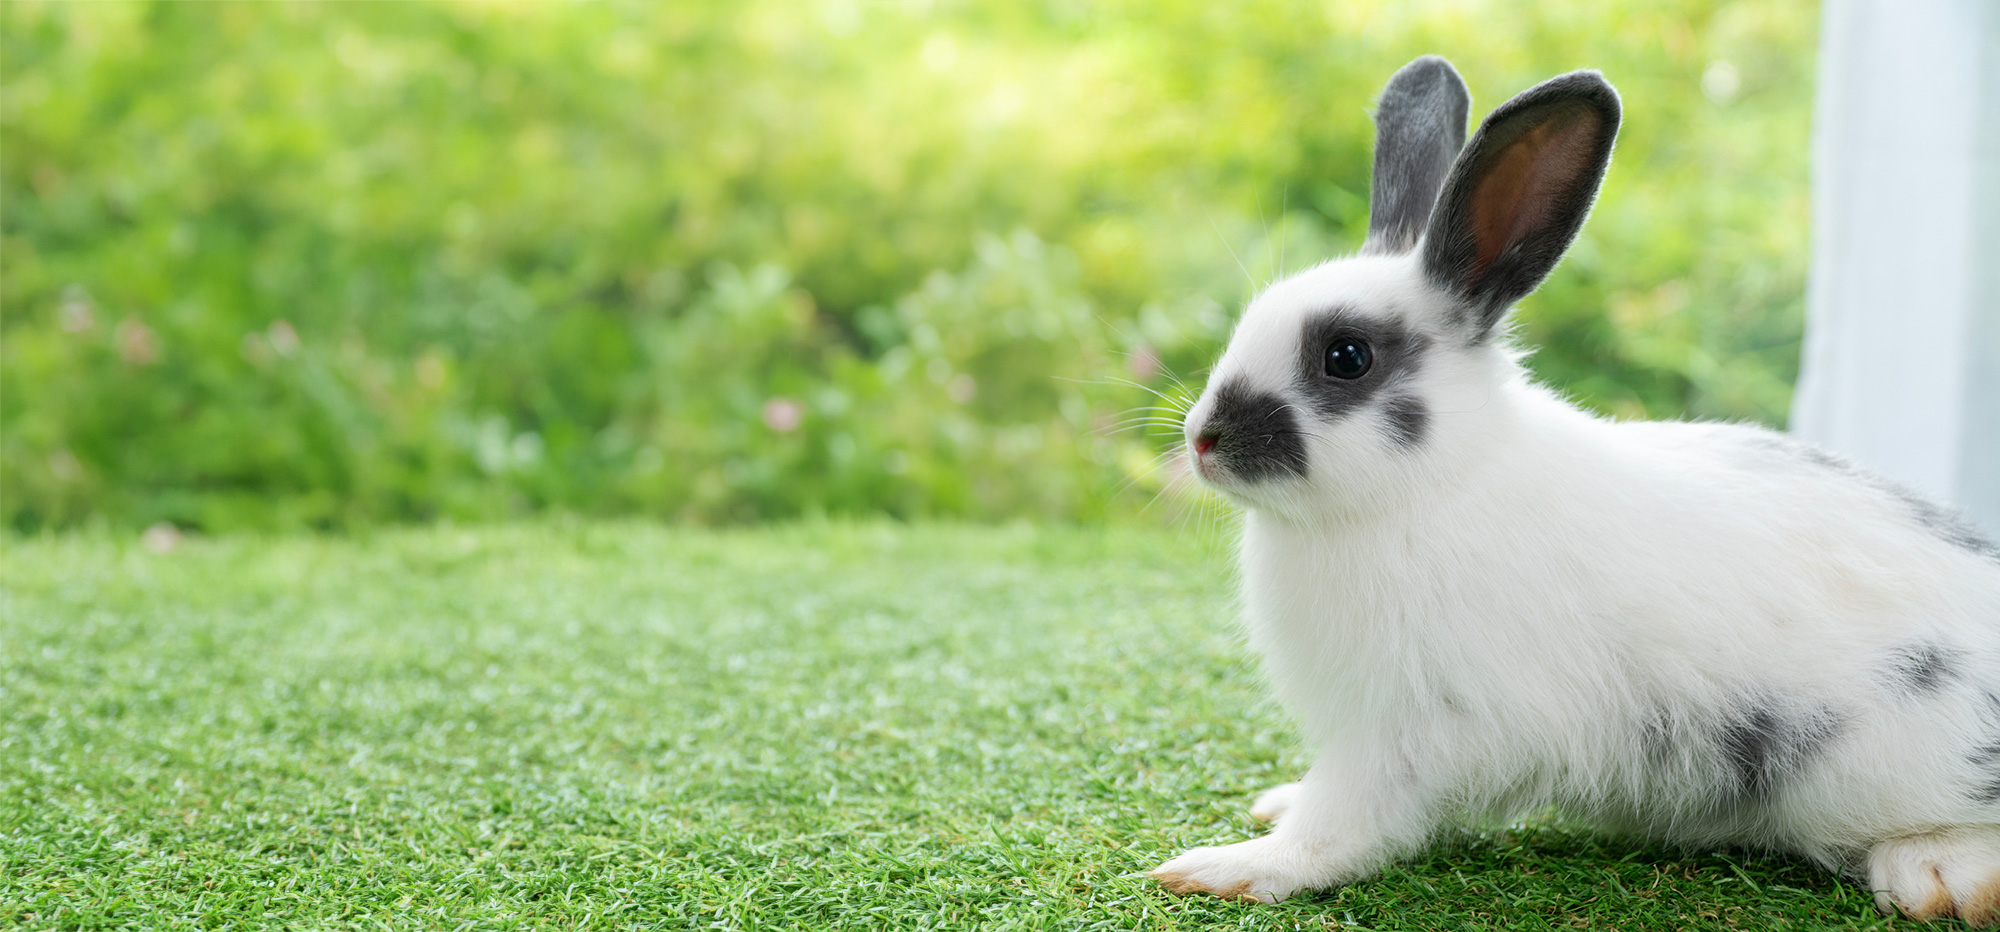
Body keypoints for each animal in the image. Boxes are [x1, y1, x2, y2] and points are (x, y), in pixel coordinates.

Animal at [1149, 55, 2000, 926]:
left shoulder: (1404, 734)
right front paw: (1274, 804)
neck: (1436, 482)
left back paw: (1936, 874)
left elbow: (1342, 826)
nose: (1202, 439)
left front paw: (1230, 867)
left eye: (1346, 357)